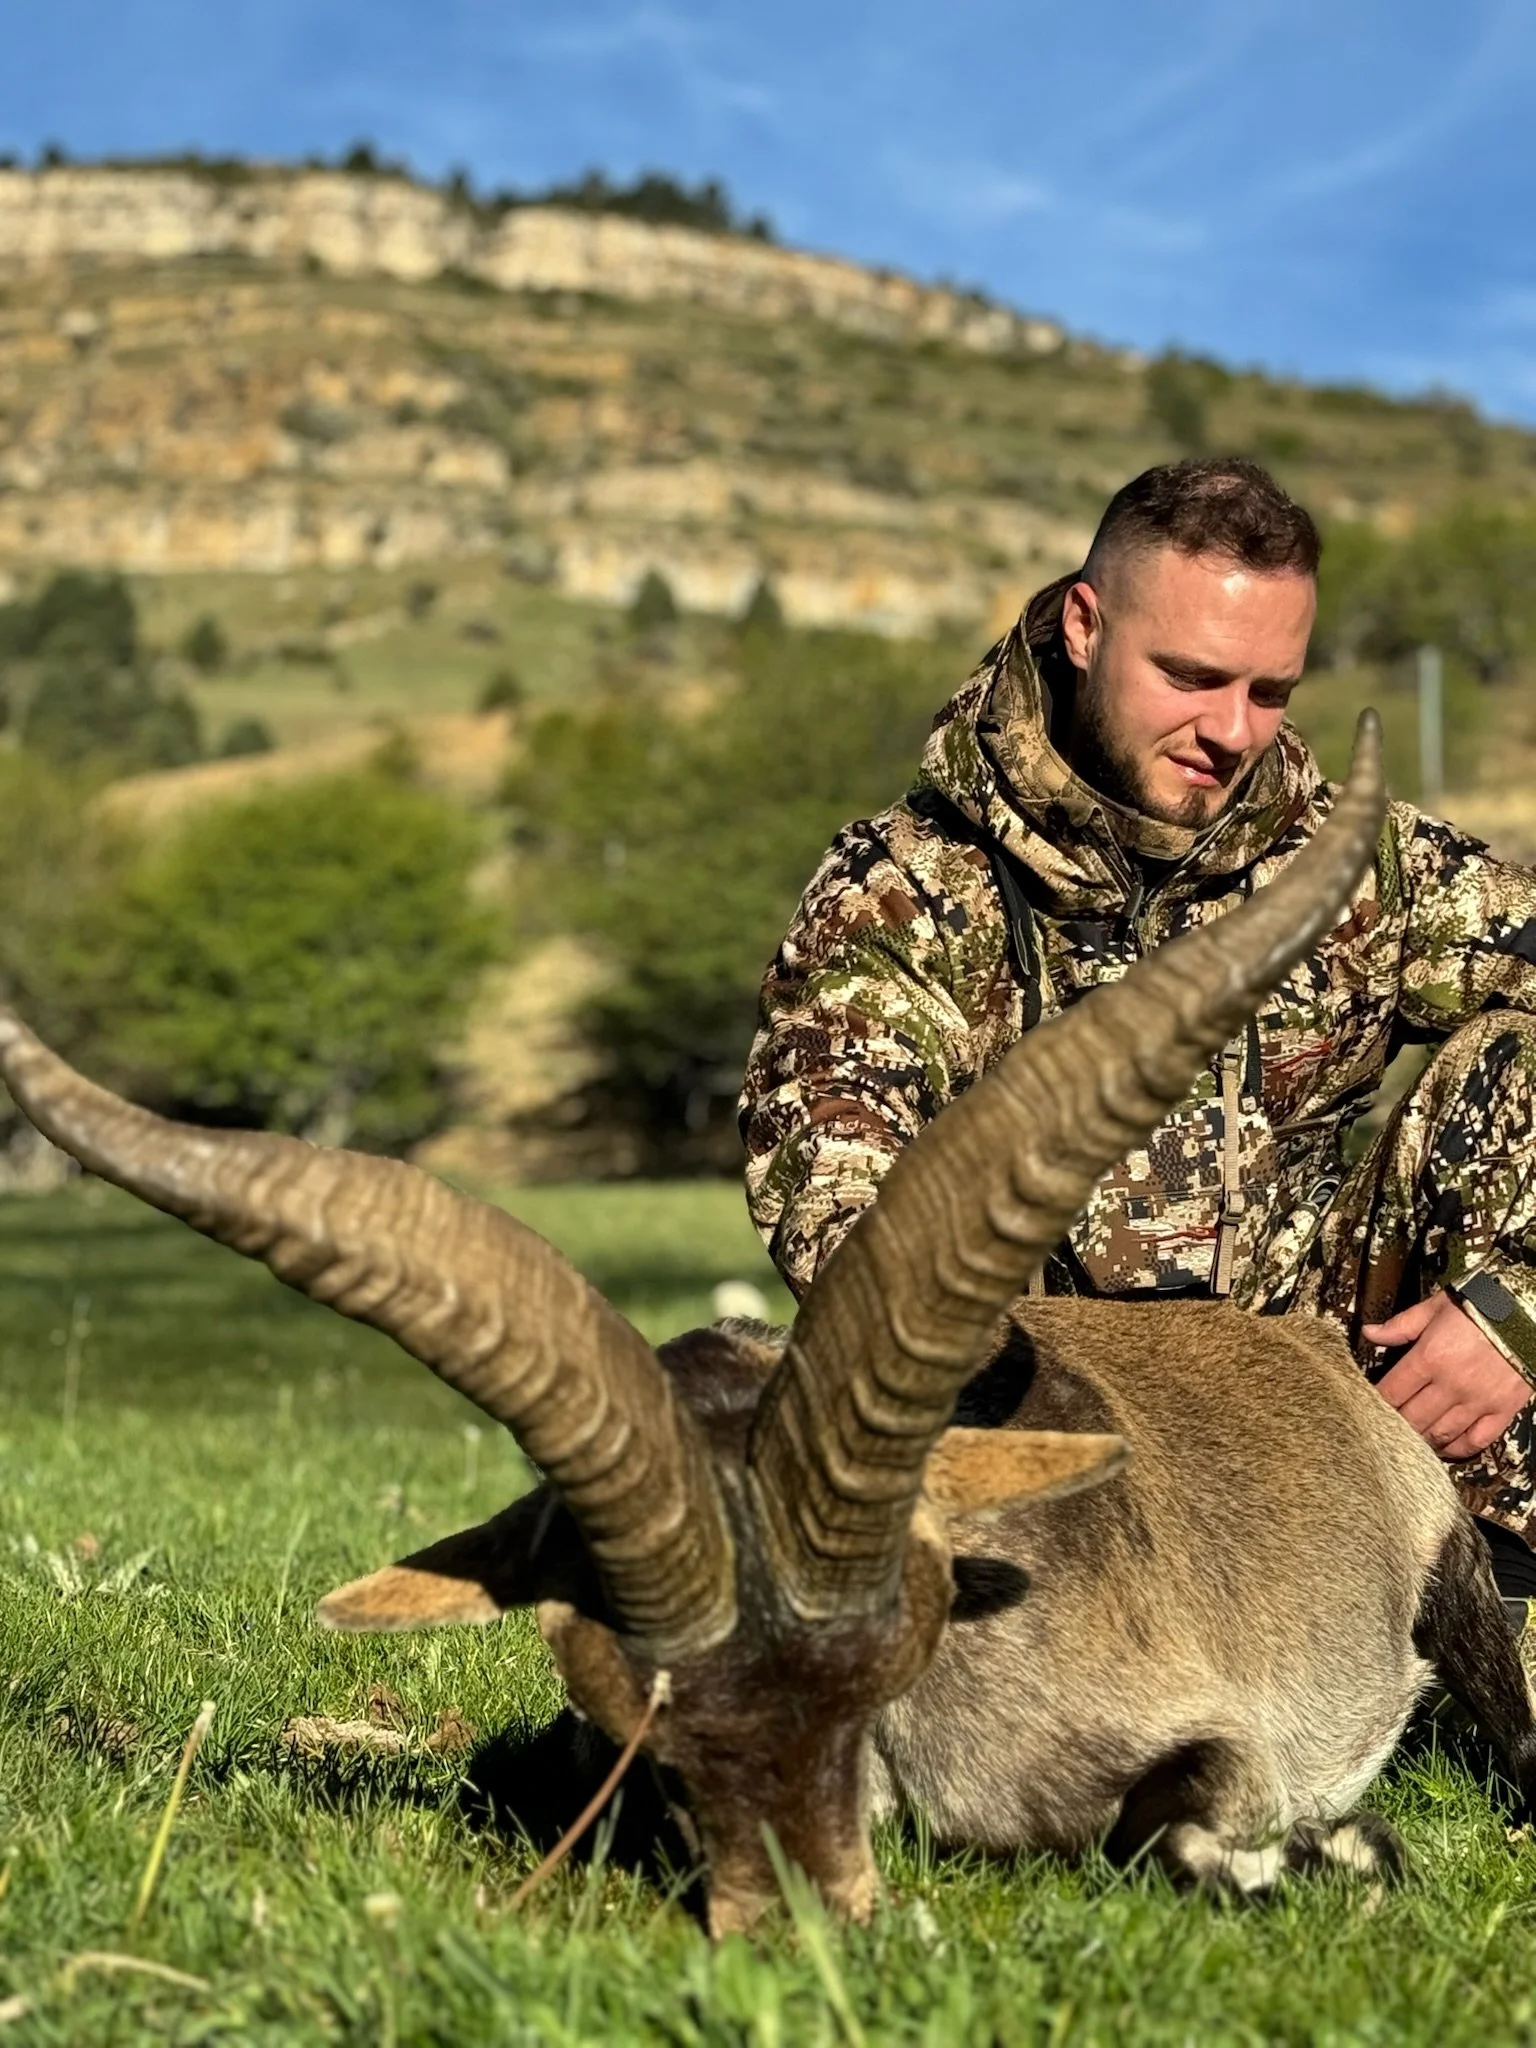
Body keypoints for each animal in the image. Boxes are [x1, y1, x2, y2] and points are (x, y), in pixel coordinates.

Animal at [1, 714, 1531, 1936]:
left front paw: (1345, 1853)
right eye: (640, 1718)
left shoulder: (1206, 1729)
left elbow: (1189, 1812)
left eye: (884, 1666)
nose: (803, 1914)